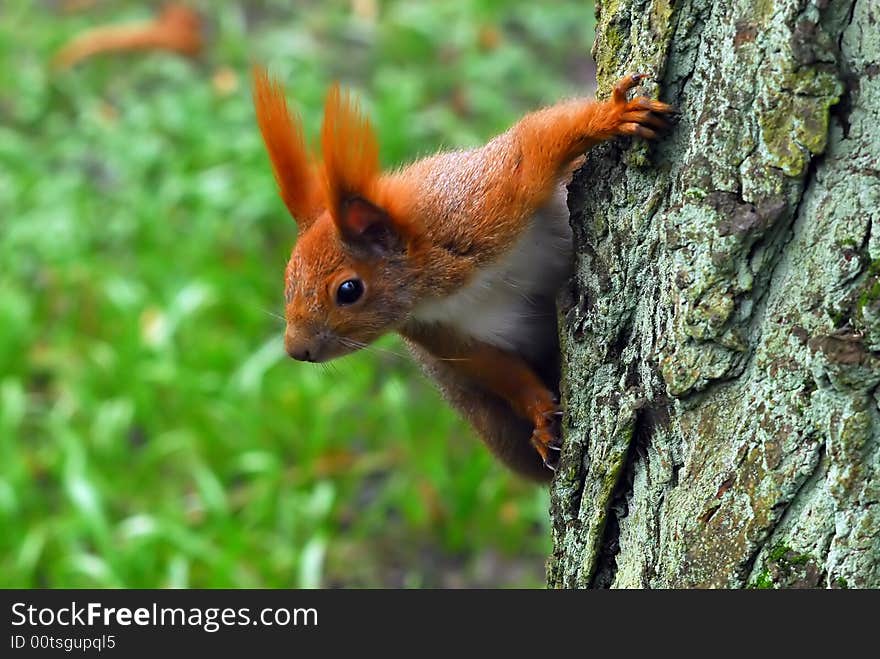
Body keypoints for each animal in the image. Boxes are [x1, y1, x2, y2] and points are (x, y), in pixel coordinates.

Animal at [251, 69, 672, 482]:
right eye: (288, 277)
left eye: (349, 290)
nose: (296, 349)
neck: (441, 286)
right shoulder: (440, 332)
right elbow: (499, 371)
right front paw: (541, 418)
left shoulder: (486, 201)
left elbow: (537, 139)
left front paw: (612, 116)